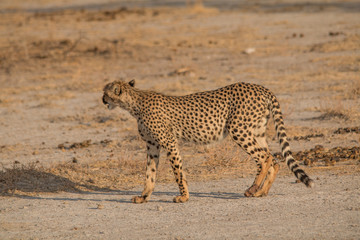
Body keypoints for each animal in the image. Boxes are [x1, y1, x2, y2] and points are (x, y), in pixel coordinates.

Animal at [102, 80, 314, 202]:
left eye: (106, 92)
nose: (103, 100)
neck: (134, 103)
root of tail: (259, 87)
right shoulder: (152, 146)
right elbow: (150, 174)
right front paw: (144, 196)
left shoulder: (170, 143)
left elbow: (178, 172)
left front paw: (183, 197)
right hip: (257, 131)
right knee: (274, 159)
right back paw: (261, 192)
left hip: (239, 130)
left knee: (265, 158)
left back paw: (252, 188)